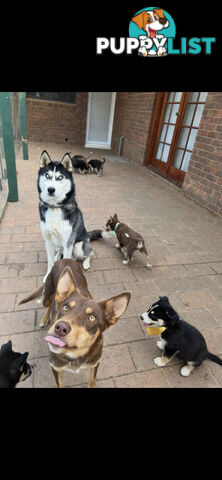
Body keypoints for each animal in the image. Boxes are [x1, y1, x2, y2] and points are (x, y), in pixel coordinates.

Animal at [19, 258, 131, 386]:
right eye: (65, 307)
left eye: (92, 318)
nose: (60, 328)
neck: (74, 355)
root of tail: (65, 259)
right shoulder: (56, 368)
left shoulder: (94, 364)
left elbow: (92, 381)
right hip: (47, 296)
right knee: (50, 303)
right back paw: (45, 319)